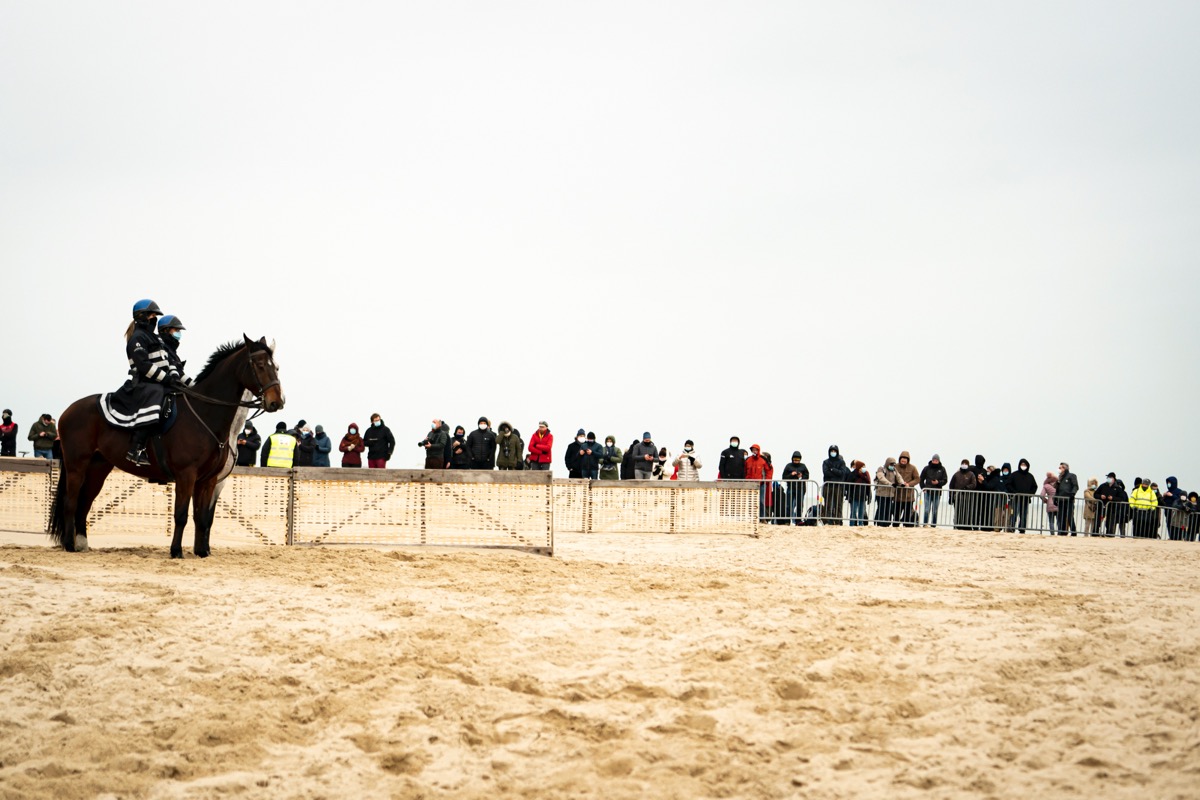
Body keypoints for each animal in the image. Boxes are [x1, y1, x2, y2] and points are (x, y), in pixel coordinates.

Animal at [50, 335, 284, 561]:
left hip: (98, 468)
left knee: (84, 503)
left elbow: (202, 518)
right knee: (70, 502)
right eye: (260, 365)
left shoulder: (208, 480)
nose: (277, 402)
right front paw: (176, 551)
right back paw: (69, 545)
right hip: (76, 466)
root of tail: (69, 410)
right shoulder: (186, 475)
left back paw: (82, 544)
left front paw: (202, 552)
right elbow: (182, 515)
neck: (204, 414)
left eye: (276, 367)